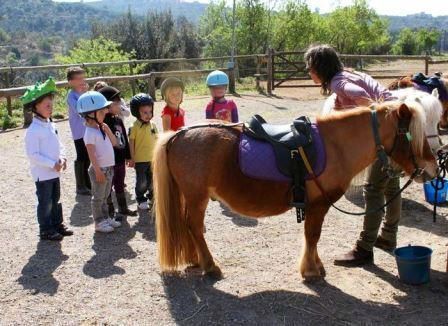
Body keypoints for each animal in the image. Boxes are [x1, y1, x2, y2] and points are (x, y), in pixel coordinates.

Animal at [152, 101, 440, 280]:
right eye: (412, 135)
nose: (433, 168)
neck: (335, 146)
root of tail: (178, 134)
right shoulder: (318, 205)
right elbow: (312, 236)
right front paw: (311, 271)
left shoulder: (314, 206)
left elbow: (312, 237)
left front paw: (315, 266)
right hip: (197, 198)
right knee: (195, 227)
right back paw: (210, 266)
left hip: (190, 197)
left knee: (189, 227)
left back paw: (195, 260)